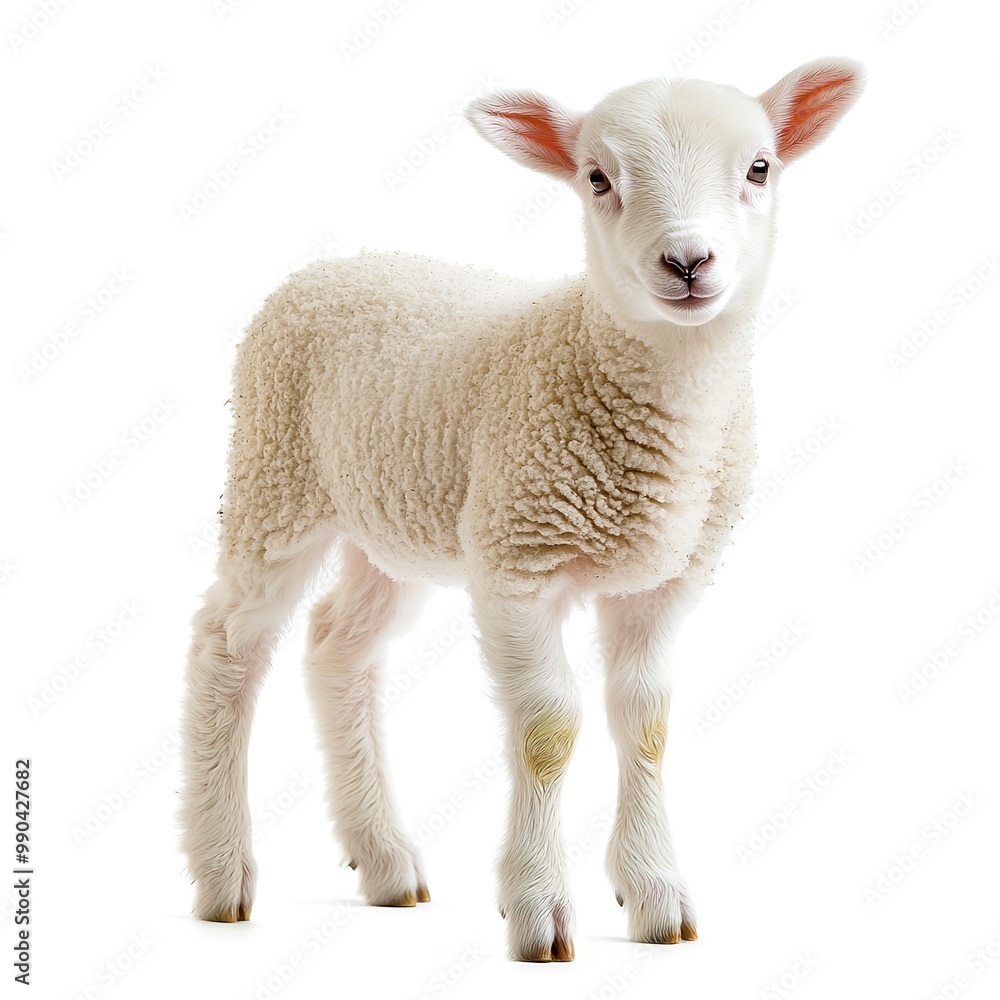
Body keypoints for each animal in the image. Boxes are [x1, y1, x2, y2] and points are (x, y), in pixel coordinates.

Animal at [180, 57, 863, 962]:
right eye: (598, 178)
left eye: (759, 169)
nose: (688, 261)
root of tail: (335, 266)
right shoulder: (516, 563)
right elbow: (549, 729)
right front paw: (538, 906)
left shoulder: (666, 579)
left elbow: (645, 721)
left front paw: (655, 894)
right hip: (276, 478)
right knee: (227, 644)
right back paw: (223, 871)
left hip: (393, 519)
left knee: (336, 649)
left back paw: (384, 860)